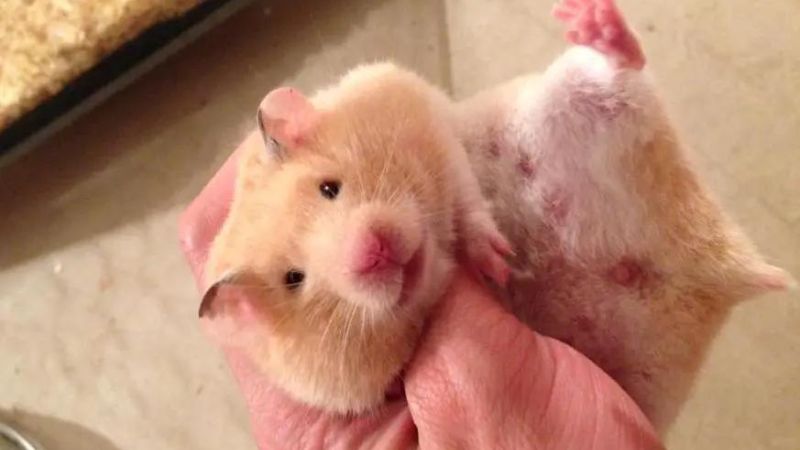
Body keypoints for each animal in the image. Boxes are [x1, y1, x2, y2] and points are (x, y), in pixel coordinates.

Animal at [200, 64, 511, 413]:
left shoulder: (435, 131)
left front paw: (501, 265)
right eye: (293, 279)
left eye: (328, 187)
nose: (376, 252)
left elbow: (467, 201)